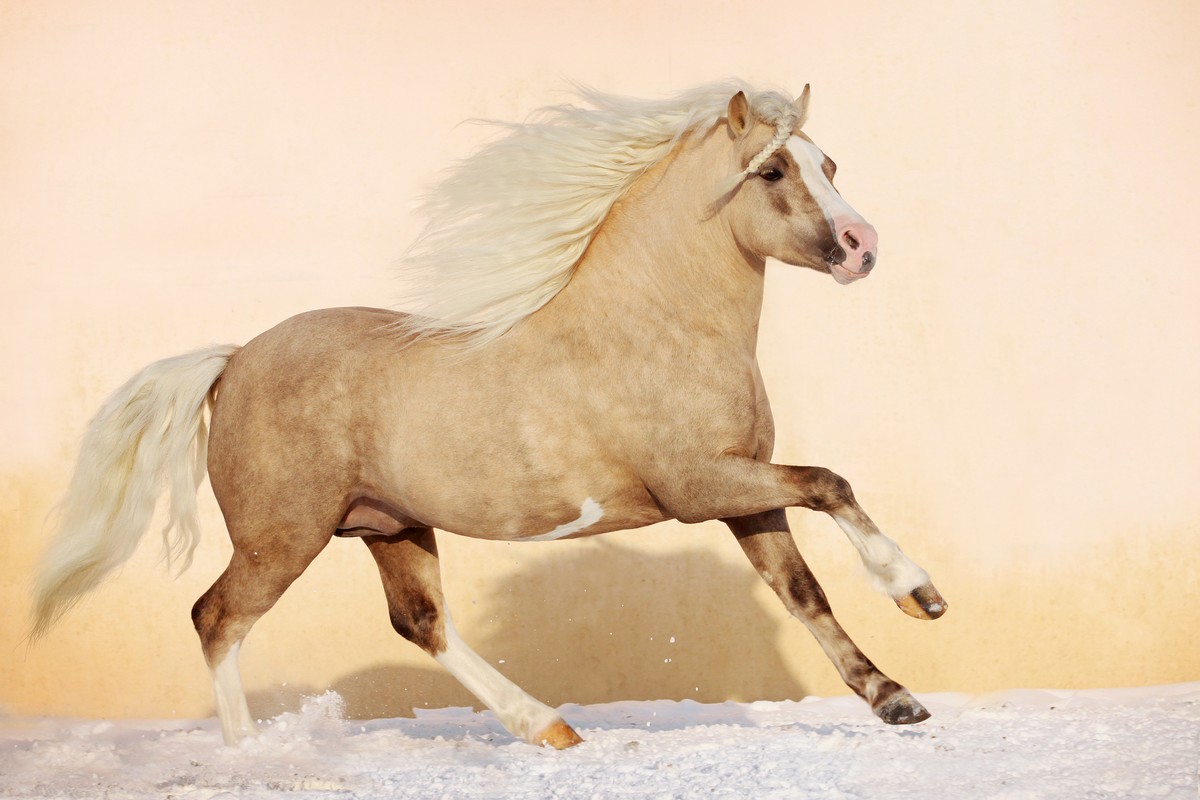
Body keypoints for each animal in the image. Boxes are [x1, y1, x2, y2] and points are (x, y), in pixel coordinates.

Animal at [31, 81, 946, 749]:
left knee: (420, 621)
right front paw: (917, 592)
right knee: (217, 619)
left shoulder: (744, 492)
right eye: (772, 173)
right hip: (280, 538)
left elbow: (803, 589)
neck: (657, 324)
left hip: (391, 527)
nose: (863, 247)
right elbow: (830, 482)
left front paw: (896, 697)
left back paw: (547, 727)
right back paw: (249, 755)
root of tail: (234, 360)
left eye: (830, 162)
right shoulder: (702, 486)